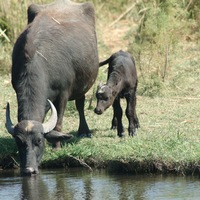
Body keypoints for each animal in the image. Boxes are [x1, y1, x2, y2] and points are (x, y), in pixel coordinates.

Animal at [4, 0, 98, 175]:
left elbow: (59, 122)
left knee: (80, 104)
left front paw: (56, 147)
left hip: (83, 84)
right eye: (19, 142)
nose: (29, 170)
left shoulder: (63, 94)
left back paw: (84, 131)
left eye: (39, 141)